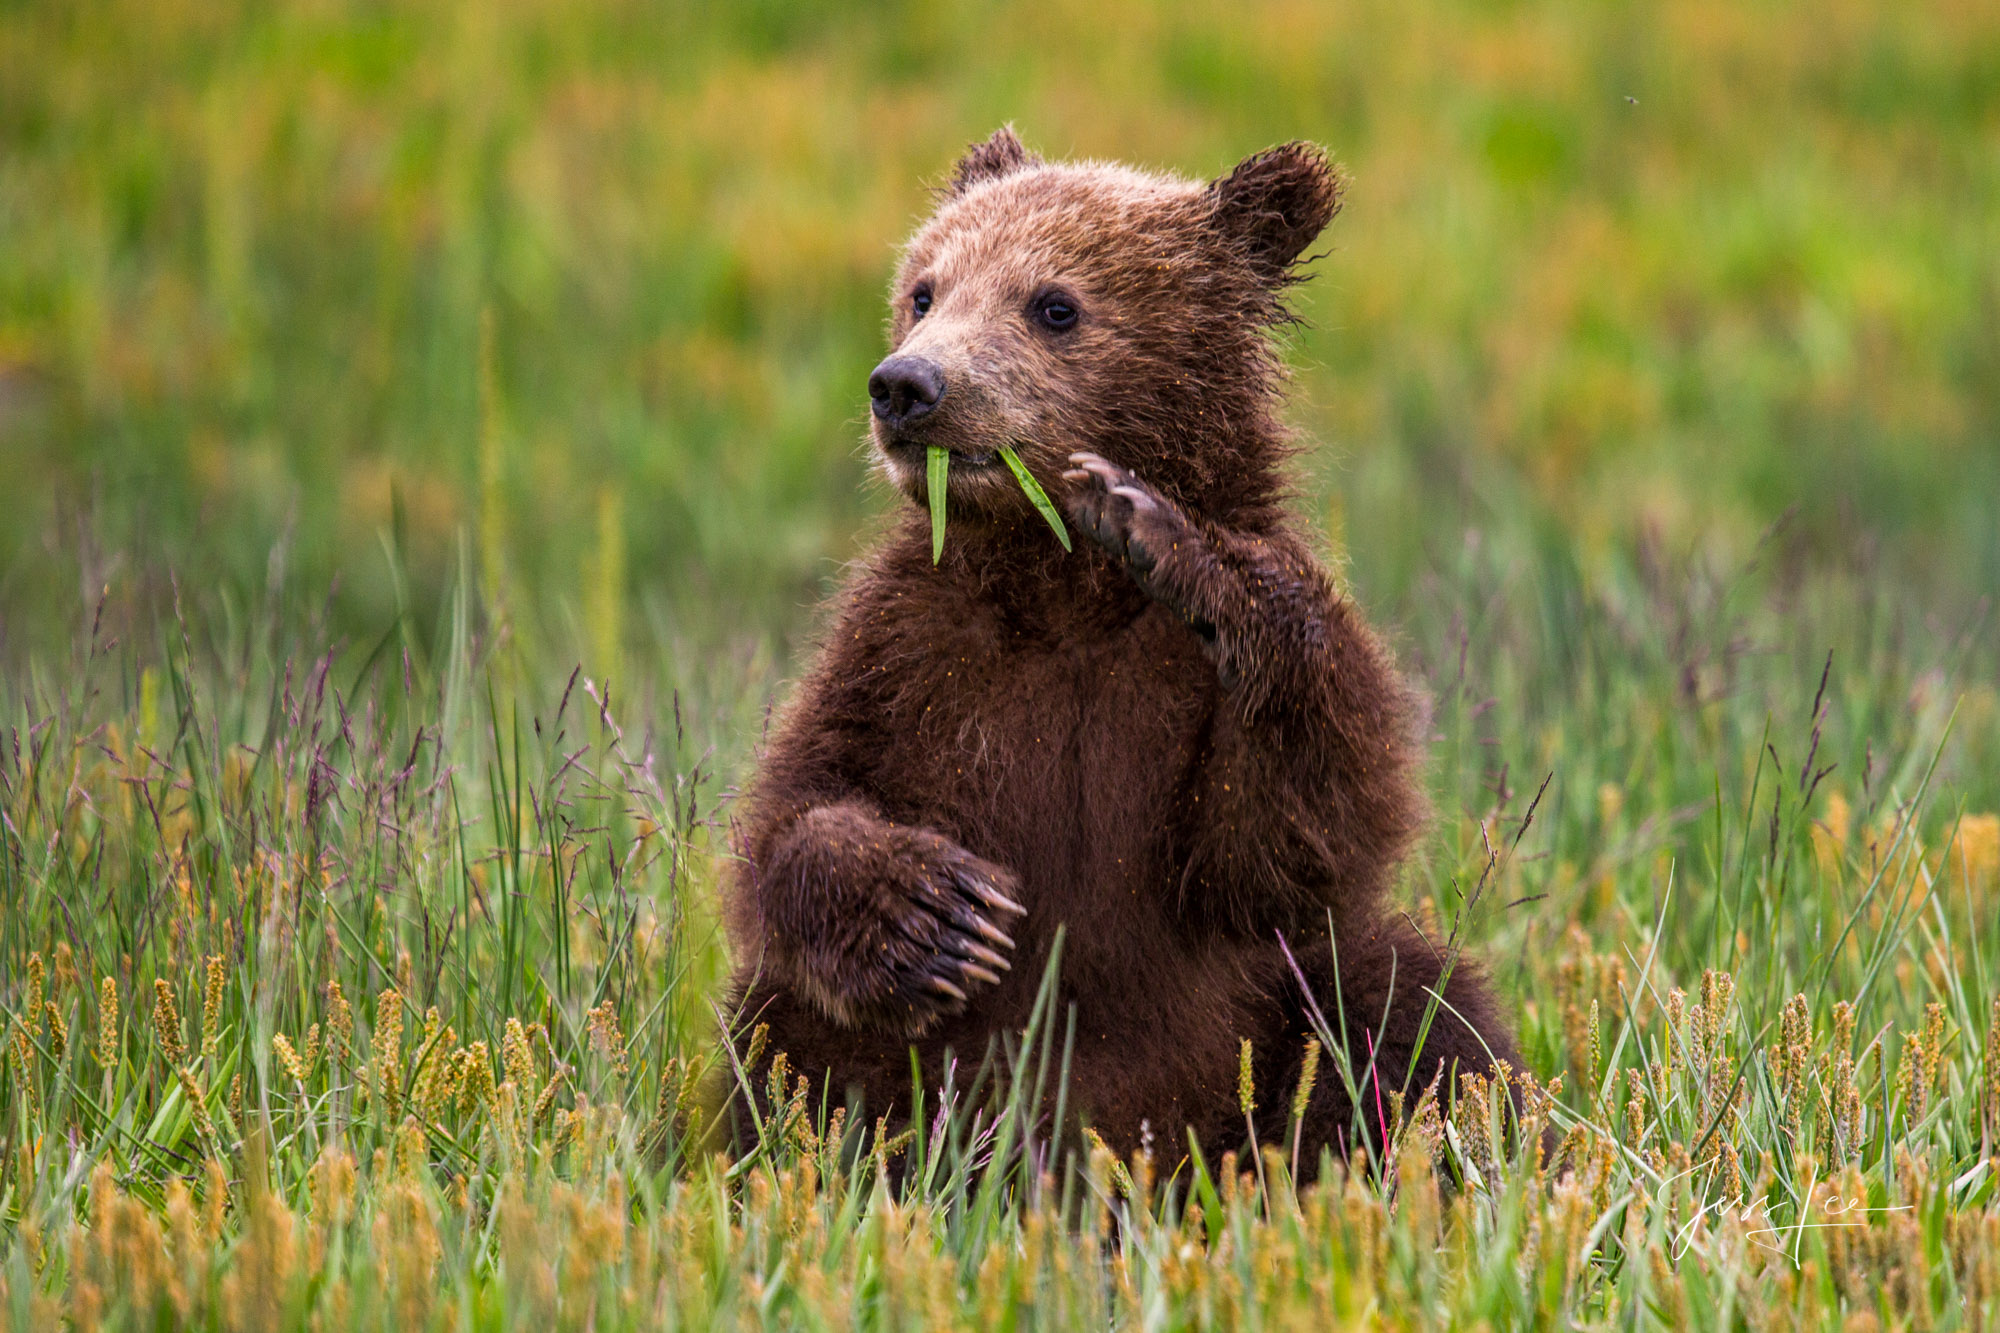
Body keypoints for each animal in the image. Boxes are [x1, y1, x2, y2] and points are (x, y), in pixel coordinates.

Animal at [728, 124, 1520, 1160]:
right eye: (925, 289)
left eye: (1054, 304)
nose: (907, 385)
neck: (1063, 589)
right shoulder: (913, 650)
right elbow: (802, 801)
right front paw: (936, 914)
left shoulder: (1169, 691)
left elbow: (1292, 843)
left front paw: (1170, 540)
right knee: (780, 1043)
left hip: (1260, 1037)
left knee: (1408, 1009)